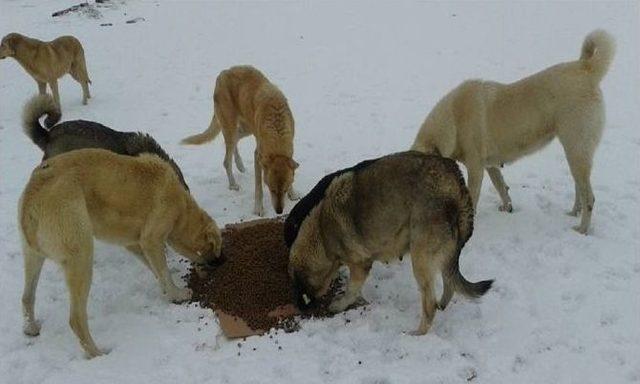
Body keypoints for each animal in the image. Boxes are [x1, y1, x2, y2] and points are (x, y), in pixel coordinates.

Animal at [18, 148, 222, 358]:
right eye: (216, 247)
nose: (221, 262)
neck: (182, 208)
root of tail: (32, 195)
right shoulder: (151, 239)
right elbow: (163, 271)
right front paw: (177, 294)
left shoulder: (135, 244)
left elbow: (157, 270)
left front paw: (167, 288)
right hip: (81, 257)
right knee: (76, 319)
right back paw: (97, 353)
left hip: (33, 257)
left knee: (27, 297)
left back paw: (30, 327)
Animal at [181, 65, 298, 216]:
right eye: (271, 189)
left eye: (284, 189)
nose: (279, 211)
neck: (276, 129)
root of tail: (222, 73)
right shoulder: (258, 156)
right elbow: (258, 188)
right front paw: (258, 208)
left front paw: (293, 194)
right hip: (231, 126)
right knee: (226, 159)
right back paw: (233, 184)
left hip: (246, 128)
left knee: (234, 141)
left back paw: (240, 164)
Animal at [410, 29, 616, 234]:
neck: (454, 119)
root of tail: (586, 68)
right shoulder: (490, 165)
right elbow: (501, 186)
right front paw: (507, 207)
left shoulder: (476, 169)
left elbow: (474, 199)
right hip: (575, 154)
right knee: (579, 189)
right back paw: (573, 213)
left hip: (576, 151)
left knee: (589, 197)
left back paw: (582, 229)